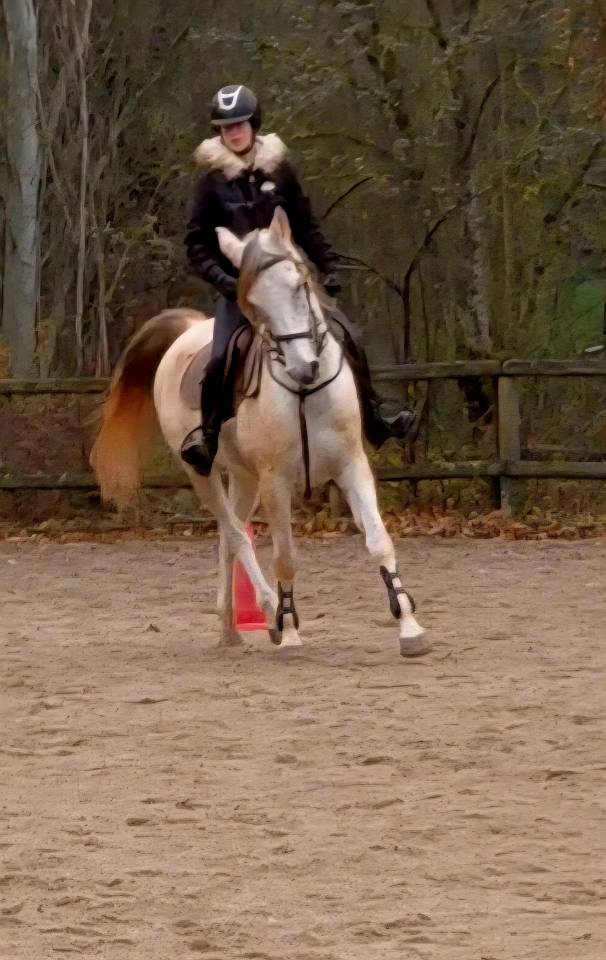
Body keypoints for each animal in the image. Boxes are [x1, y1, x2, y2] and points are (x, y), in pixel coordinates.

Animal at [90, 207, 429, 657]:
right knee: (237, 536)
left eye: (300, 285)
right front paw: (290, 630)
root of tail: (187, 329)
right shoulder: (276, 481)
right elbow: (284, 556)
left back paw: (230, 629)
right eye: (254, 303)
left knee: (227, 537)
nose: (305, 367)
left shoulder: (351, 466)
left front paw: (410, 627)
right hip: (202, 473)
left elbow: (379, 540)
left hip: (244, 477)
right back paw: (268, 613)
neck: (304, 393)